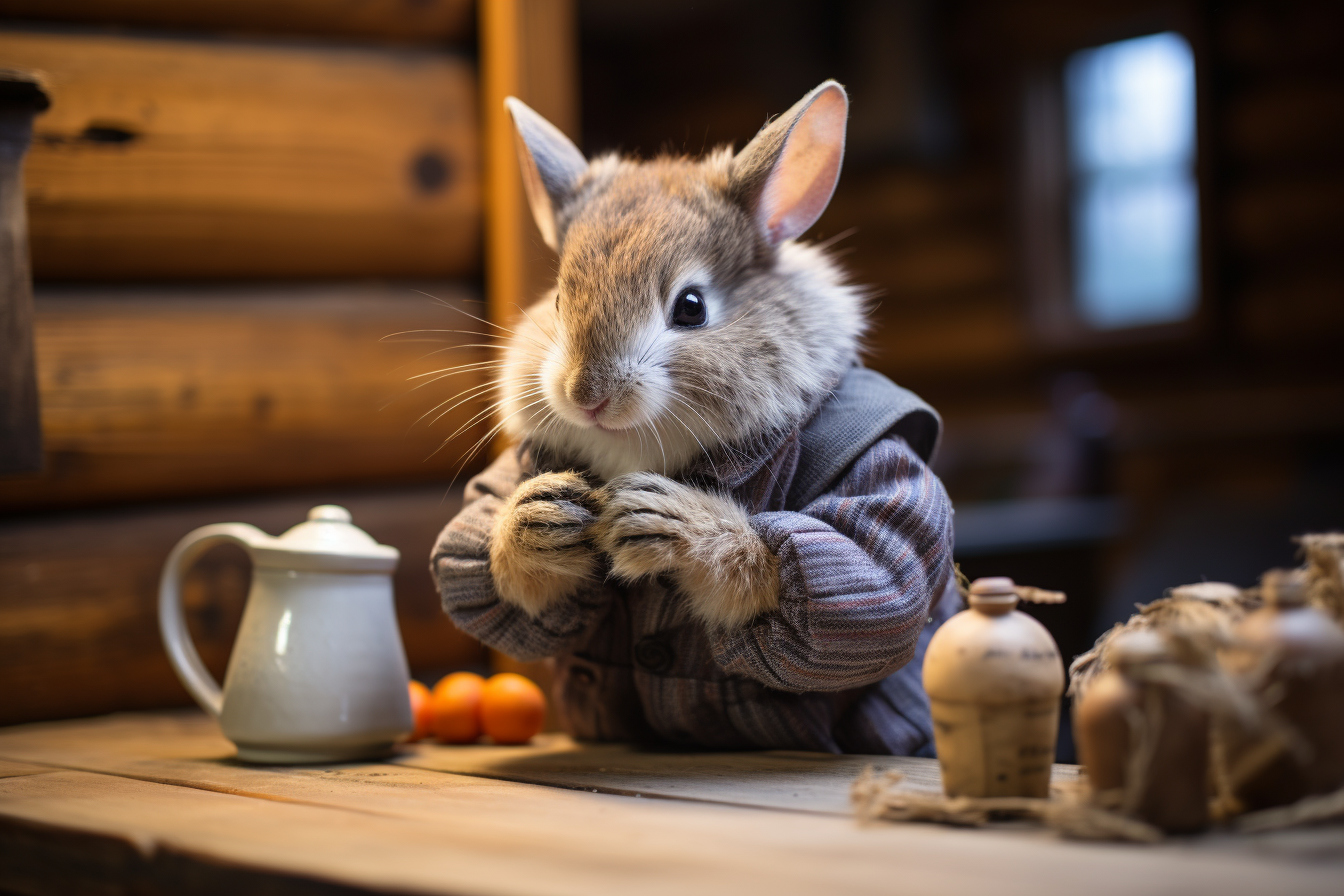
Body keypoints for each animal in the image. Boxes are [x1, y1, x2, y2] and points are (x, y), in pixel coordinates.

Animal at [432, 82, 956, 757]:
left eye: (690, 307)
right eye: (559, 301)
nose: (586, 394)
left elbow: (873, 589)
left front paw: (668, 522)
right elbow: (478, 564)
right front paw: (541, 517)